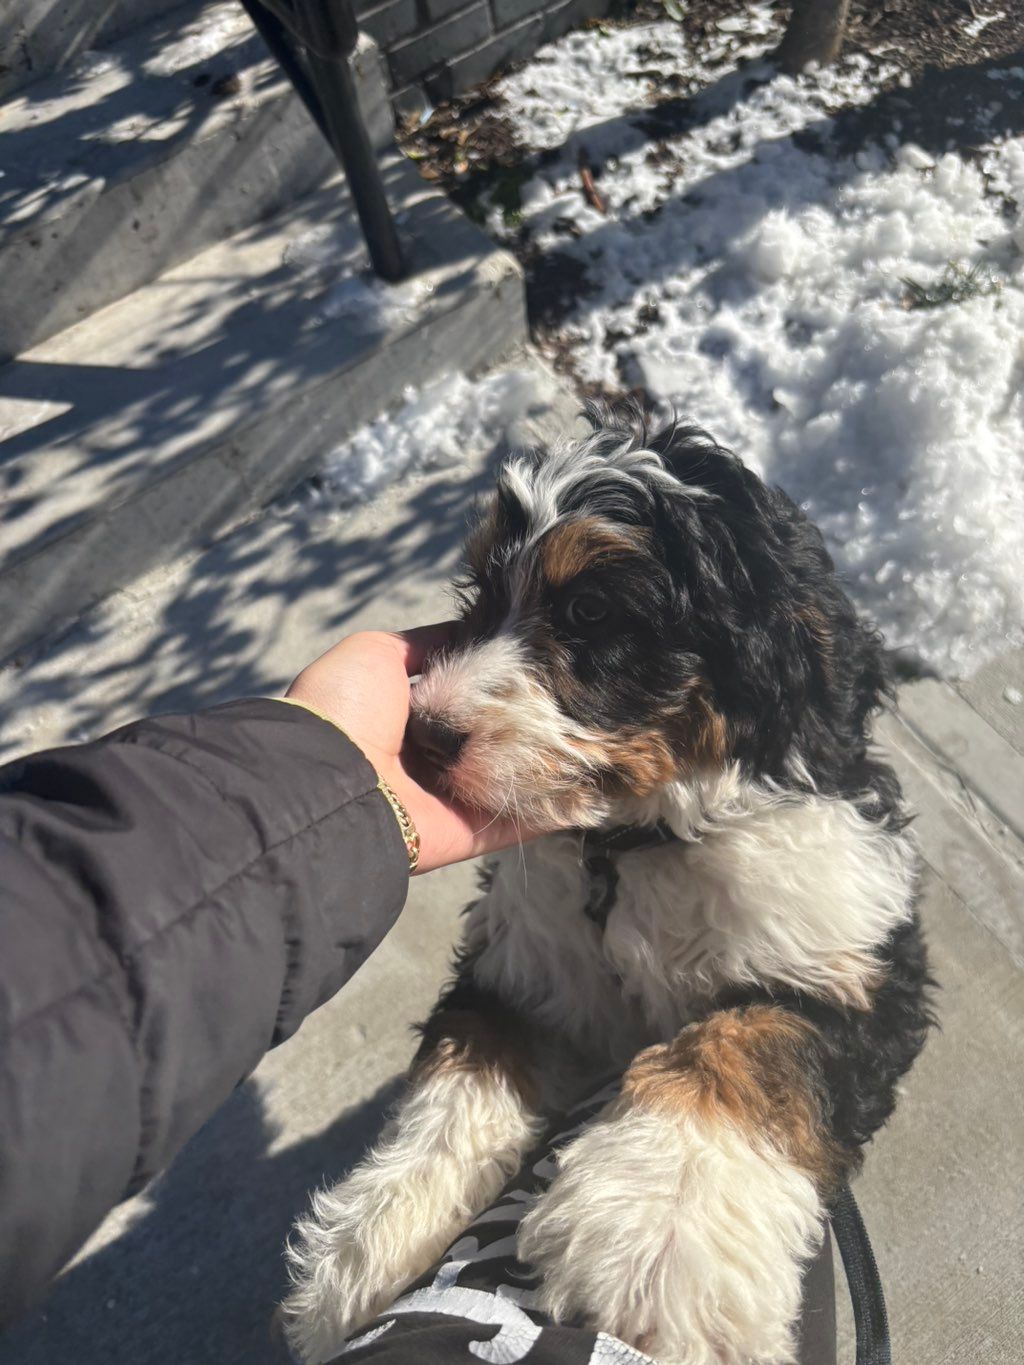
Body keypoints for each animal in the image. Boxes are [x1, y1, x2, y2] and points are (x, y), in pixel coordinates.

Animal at [278, 404, 928, 1365]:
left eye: (588, 610)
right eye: (482, 592)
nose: (424, 736)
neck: (632, 844)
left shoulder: (853, 958)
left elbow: (745, 1038)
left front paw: (662, 1228)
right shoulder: (527, 963)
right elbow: (471, 1056)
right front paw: (372, 1234)